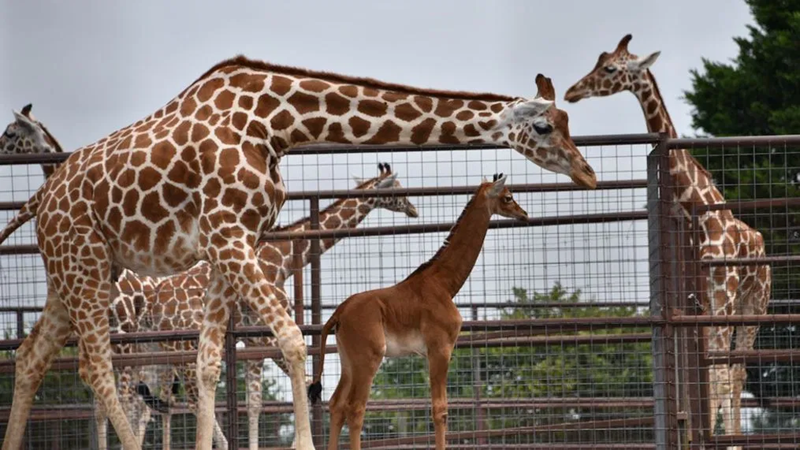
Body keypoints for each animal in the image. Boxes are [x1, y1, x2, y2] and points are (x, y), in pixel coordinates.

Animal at [312, 173, 532, 450]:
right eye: (508, 197)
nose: (525, 214)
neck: (444, 283)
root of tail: (337, 314)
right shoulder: (440, 348)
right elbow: (440, 409)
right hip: (368, 358)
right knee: (355, 408)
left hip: (348, 359)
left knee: (336, 404)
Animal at [564, 33, 772, 442]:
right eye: (599, 61)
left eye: (609, 68)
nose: (571, 91)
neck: (701, 210)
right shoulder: (698, 302)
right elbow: (702, 375)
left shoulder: (722, 296)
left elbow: (719, 376)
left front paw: (718, 439)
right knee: (731, 370)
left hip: (754, 304)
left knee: (737, 371)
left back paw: (734, 437)